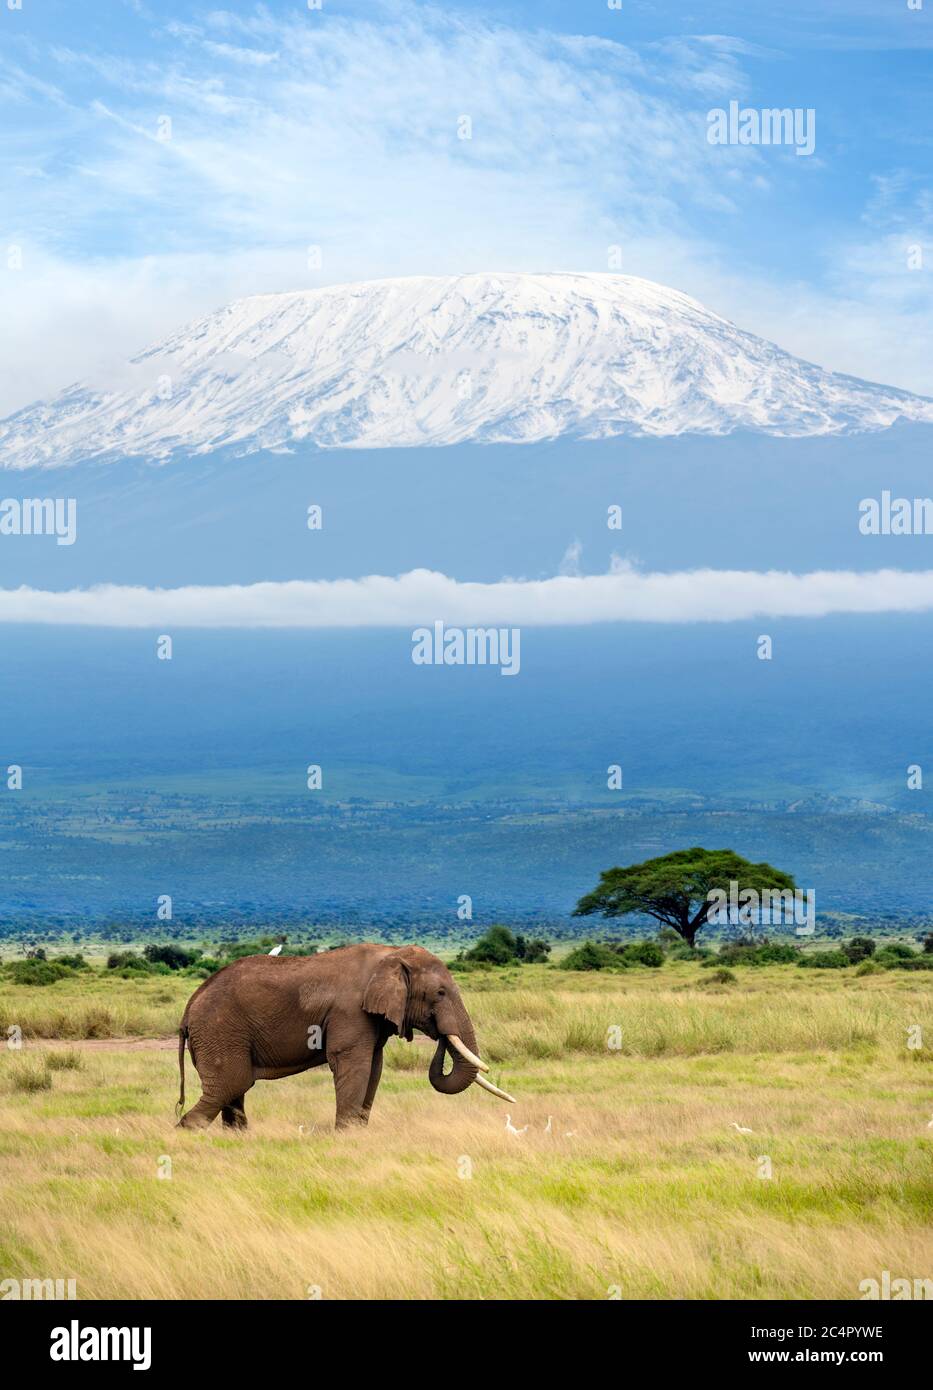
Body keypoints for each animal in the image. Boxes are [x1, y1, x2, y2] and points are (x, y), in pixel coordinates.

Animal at [173, 939, 511, 1134]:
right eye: (439, 993)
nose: (439, 1034)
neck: (392, 955)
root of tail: (188, 1009)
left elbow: (374, 1067)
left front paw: (359, 1134)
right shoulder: (350, 1011)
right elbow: (353, 1063)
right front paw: (346, 1135)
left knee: (234, 1092)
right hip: (219, 1031)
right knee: (231, 1084)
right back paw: (185, 1133)